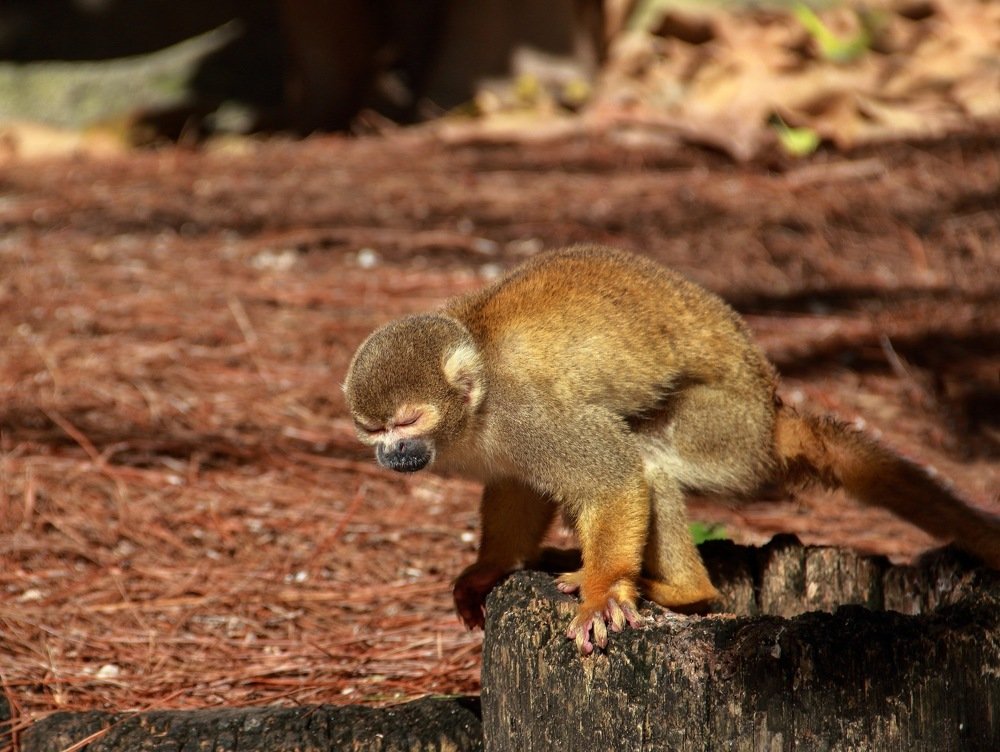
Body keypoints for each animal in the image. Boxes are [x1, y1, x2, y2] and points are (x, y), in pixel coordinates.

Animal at [342, 246, 1000, 654]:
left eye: (407, 421)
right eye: (372, 430)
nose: (392, 456)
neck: (474, 409)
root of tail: (771, 414)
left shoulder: (523, 413)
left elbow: (610, 475)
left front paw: (603, 591)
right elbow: (517, 487)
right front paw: (489, 569)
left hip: (727, 432)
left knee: (646, 456)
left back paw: (686, 591)